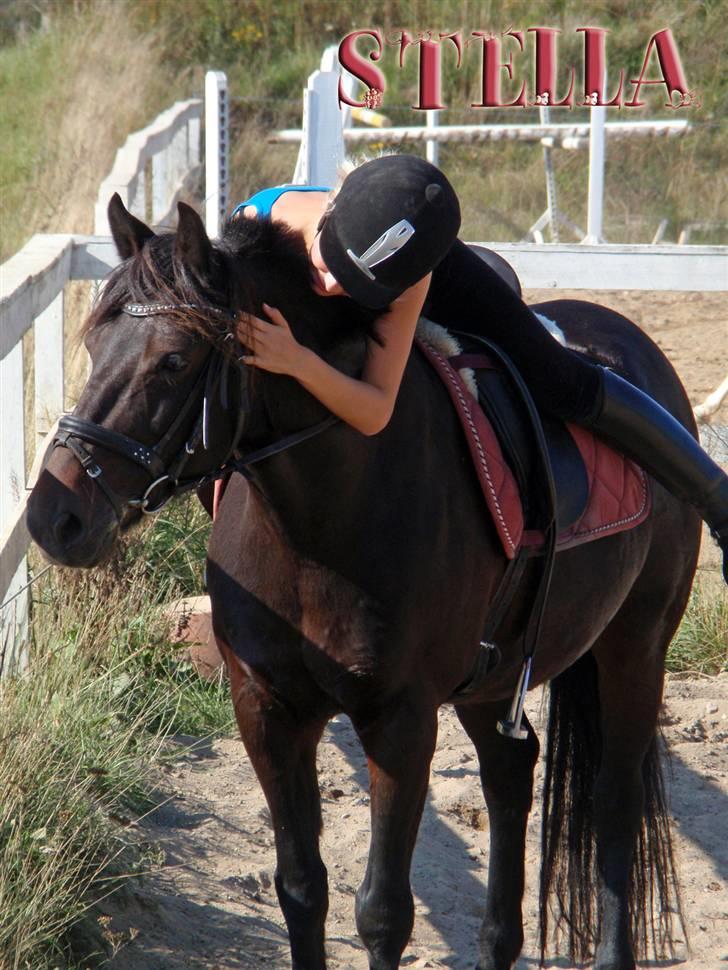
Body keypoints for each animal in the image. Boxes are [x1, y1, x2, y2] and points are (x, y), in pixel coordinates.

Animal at [27, 199, 700, 968]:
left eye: (173, 358)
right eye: (92, 345)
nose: (54, 517)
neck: (324, 520)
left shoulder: (400, 722)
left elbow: (383, 912)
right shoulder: (267, 709)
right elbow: (300, 887)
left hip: (634, 648)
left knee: (616, 804)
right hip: (493, 678)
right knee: (511, 771)